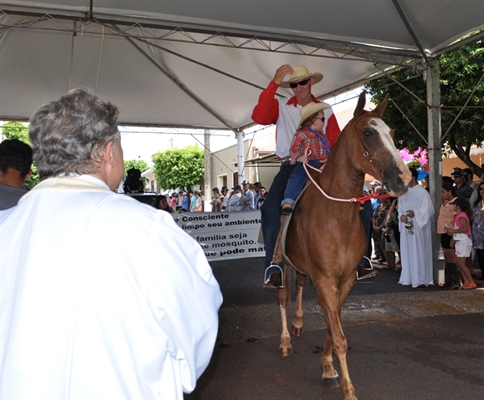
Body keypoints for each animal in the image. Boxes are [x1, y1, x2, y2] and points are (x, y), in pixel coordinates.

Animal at [276, 91, 408, 400]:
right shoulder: (325, 280)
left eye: (392, 133)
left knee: (299, 286)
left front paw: (328, 368)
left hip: (303, 268)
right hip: (280, 261)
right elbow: (338, 335)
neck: (336, 217)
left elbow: (331, 323)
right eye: (368, 133)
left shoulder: (345, 280)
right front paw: (347, 388)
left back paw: (298, 323)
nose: (404, 179)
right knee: (283, 296)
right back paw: (286, 340)